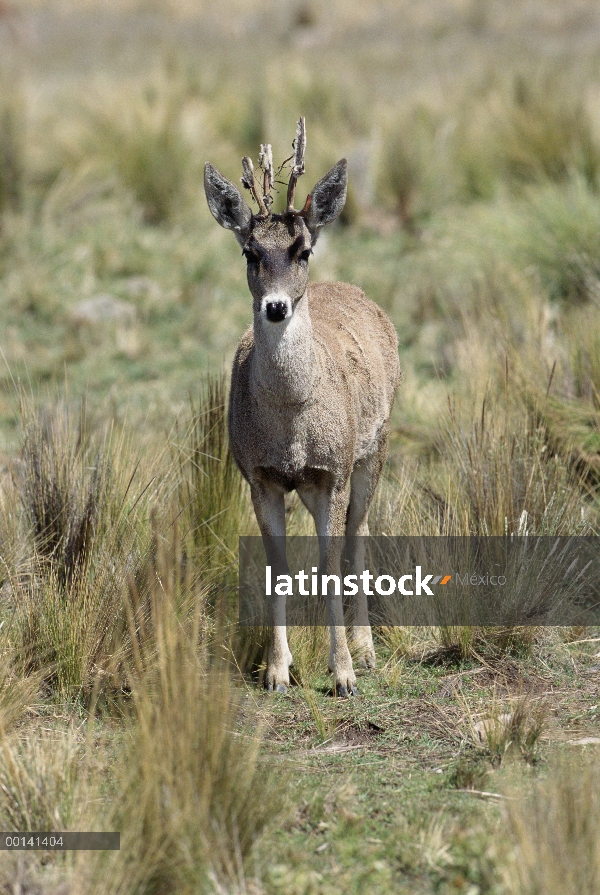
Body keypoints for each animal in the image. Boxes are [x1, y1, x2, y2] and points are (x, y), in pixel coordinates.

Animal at [204, 119, 400, 696]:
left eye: (303, 250)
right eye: (249, 252)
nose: (275, 306)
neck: (292, 424)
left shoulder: (330, 471)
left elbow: (330, 562)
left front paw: (343, 674)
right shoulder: (260, 476)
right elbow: (277, 566)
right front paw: (276, 671)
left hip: (374, 448)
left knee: (359, 533)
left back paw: (366, 651)